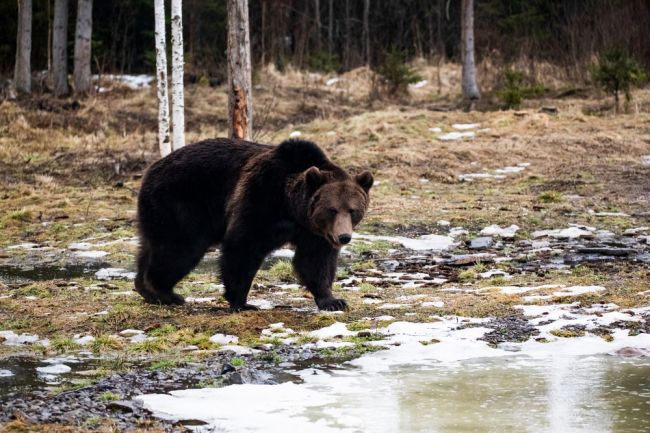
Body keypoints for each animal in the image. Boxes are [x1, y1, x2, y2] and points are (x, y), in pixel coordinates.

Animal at [134, 138, 372, 310]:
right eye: (332, 209)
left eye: (353, 210)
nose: (343, 237)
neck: (290, 205)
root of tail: (151, 169)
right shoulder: (260, 199)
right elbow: (243, 247)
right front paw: (242, 302)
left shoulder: (313, 231)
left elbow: (315, 260)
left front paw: (332, 300)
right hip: (181, 203)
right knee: (180, 249)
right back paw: (164, 292)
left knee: (150, 247)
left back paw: (146, 289)